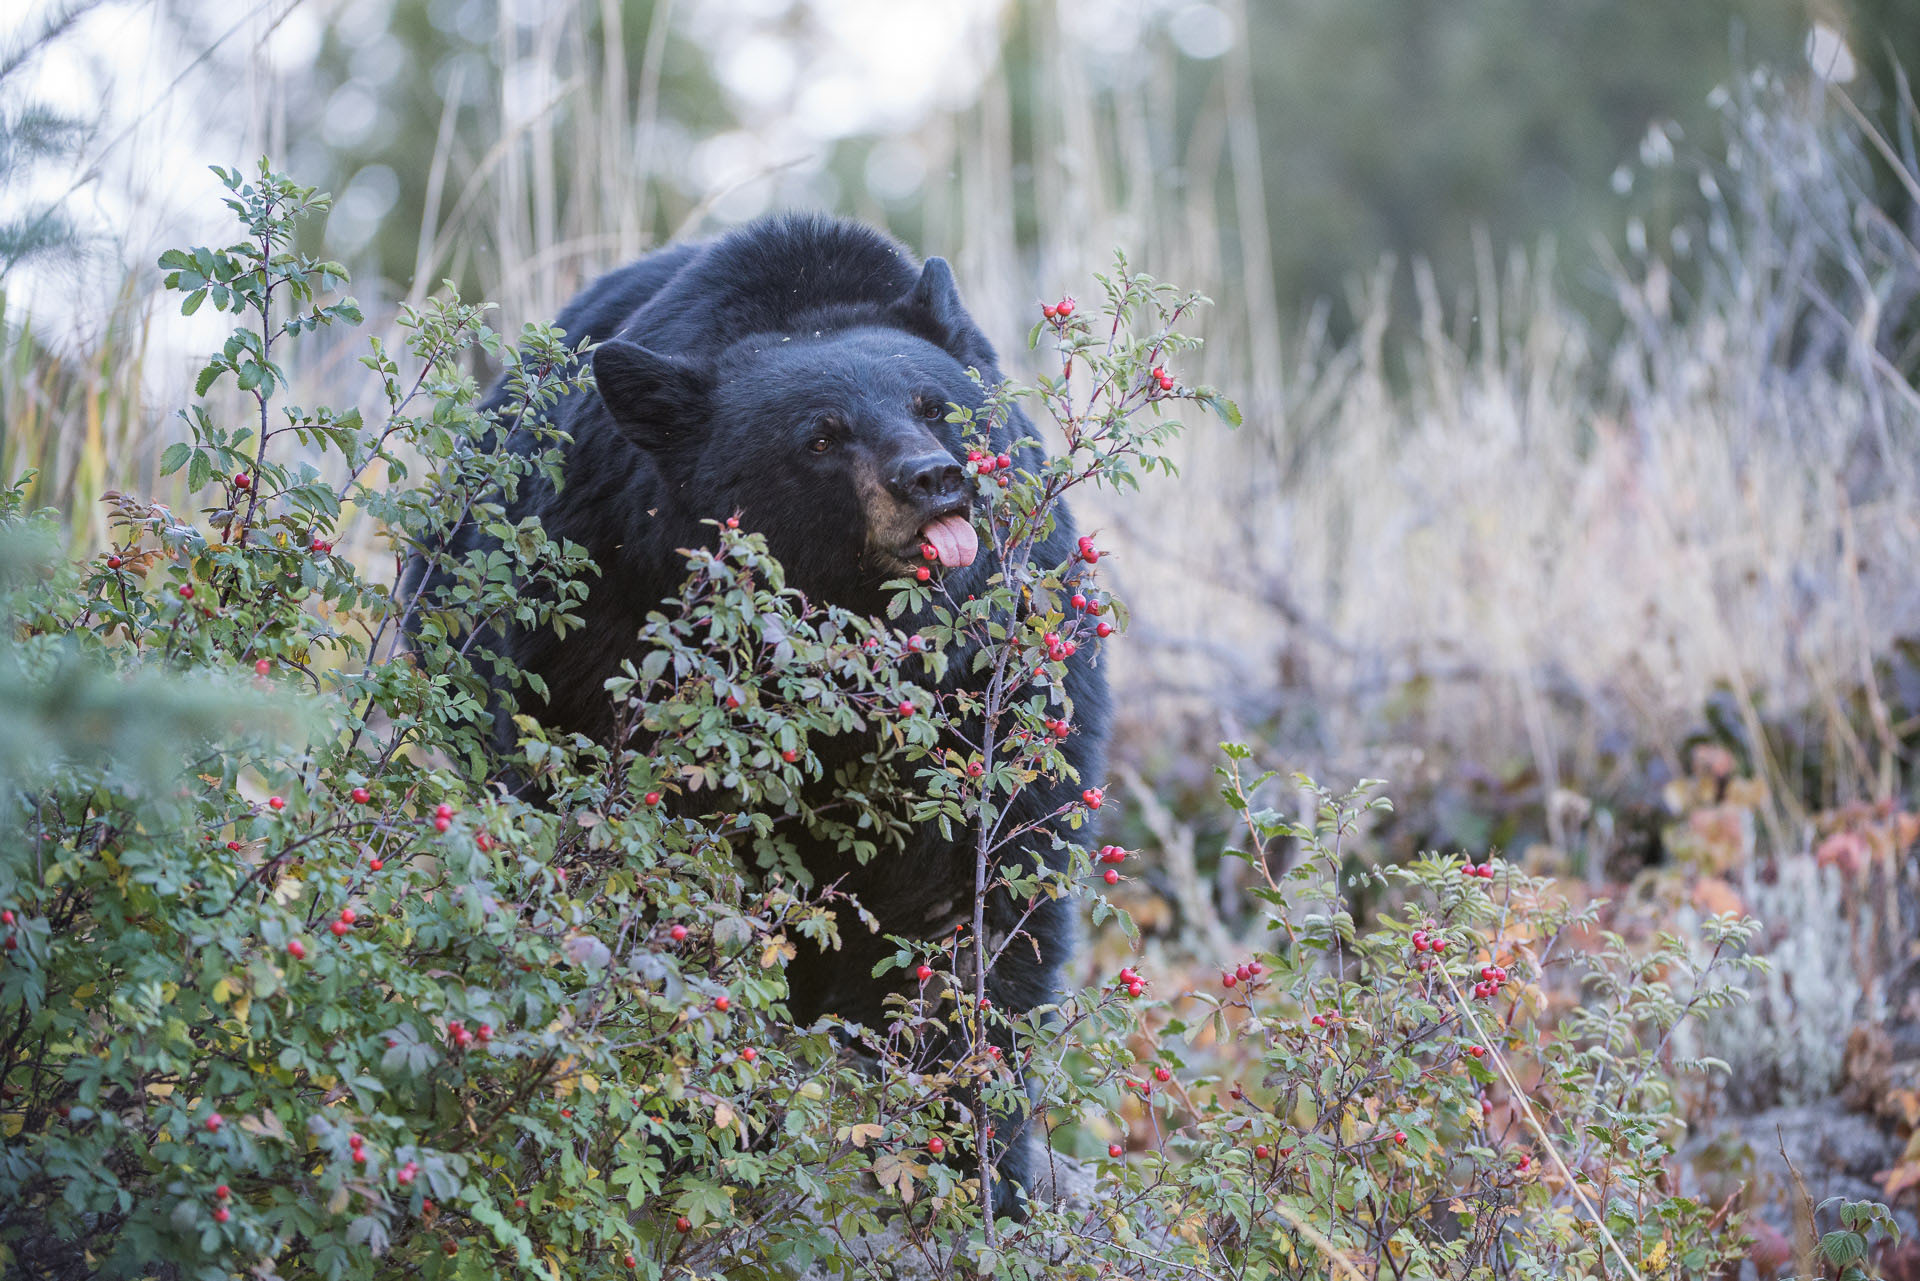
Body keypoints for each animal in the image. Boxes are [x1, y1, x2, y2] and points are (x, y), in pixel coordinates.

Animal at [428, 215, 1105, 1221]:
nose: (935, 479)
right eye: (821, 436)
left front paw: (981, 1171)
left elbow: (975, 912)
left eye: (934, 404)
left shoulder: (1005, 679)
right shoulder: (610, 628)